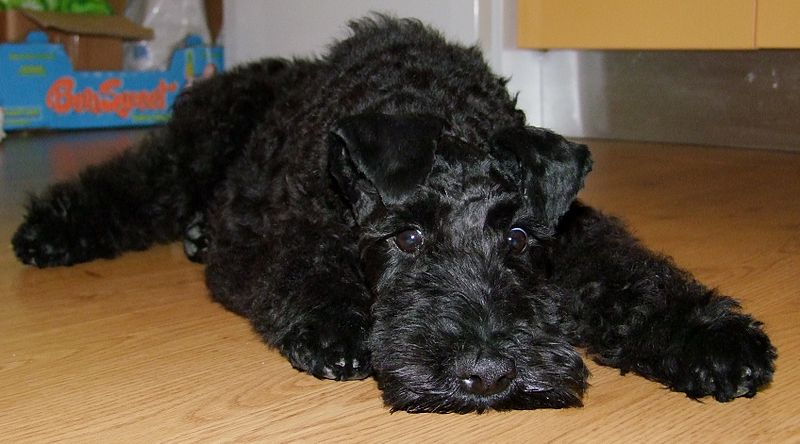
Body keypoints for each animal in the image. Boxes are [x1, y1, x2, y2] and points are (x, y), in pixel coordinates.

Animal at [12, 16, 776, 412]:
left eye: (520, 238)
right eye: (408, 238)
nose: (485, 377)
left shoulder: (574, 232)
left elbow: (631, 278)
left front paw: (713, 339)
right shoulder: (279, 233)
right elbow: (302, 268)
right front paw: (335, 328)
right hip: (185, 156)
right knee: (132, 184)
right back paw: (49, 230)